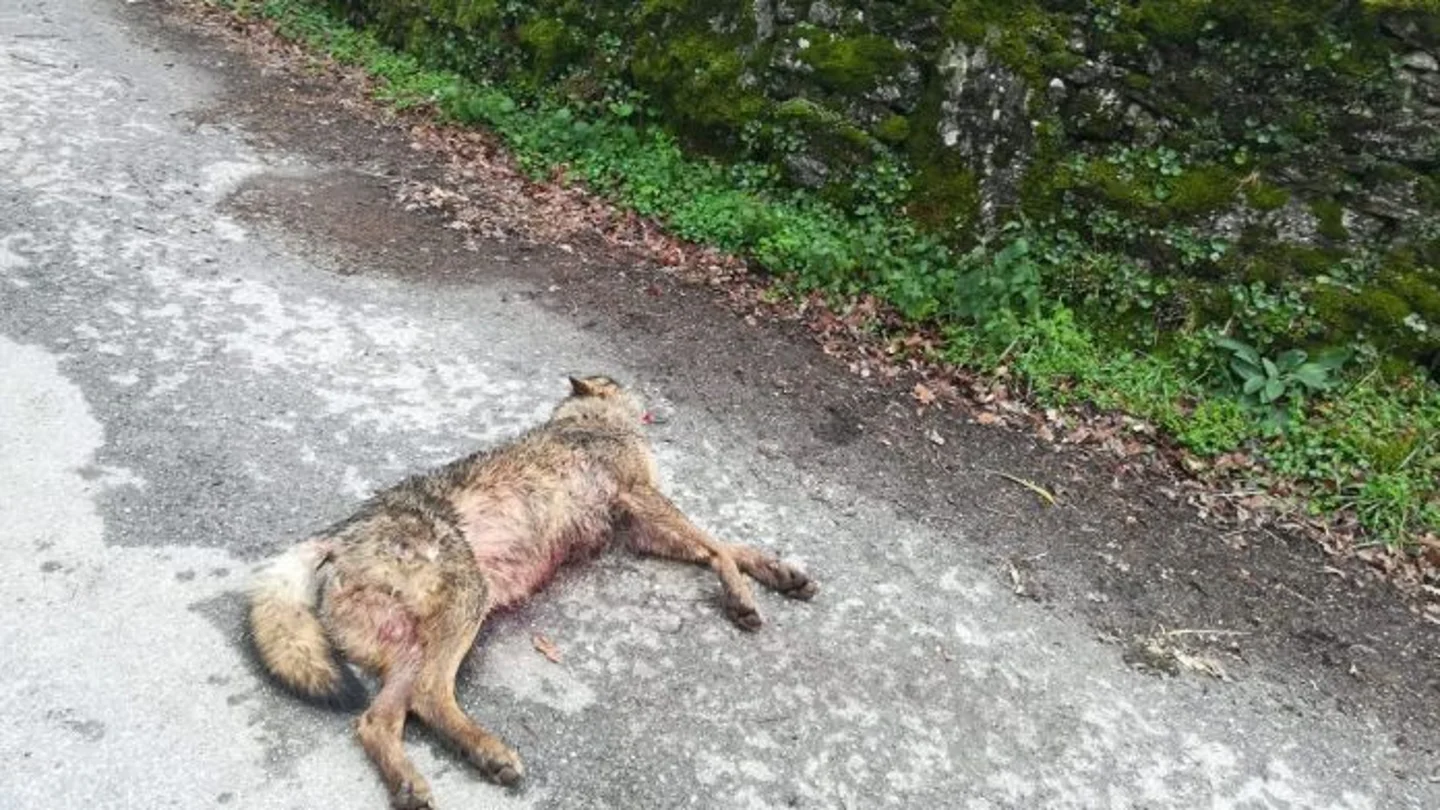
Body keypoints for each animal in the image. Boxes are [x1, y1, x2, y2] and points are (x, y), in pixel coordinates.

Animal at [246, 375, 817, 809]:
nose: (659, 398)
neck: (587, 421)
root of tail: (338, 534)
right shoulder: (641, 497)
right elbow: (717, 546)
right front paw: (741, 595)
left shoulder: (638, 531)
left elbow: (726, 543)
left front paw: (778, 571)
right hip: (468, 604)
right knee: (429, 696)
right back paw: (490, 752)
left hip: (413, 647)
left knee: (375, 721)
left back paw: (415, 781)